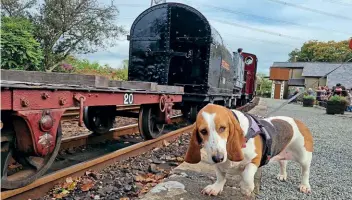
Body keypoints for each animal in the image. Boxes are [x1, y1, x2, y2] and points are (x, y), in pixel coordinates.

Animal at [184, 103, 314, 197]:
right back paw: (282, 175)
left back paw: (305, 186)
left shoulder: (255, 160)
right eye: (203, 131)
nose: (218, 158)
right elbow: (220, 176)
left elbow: (247, 175)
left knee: (305, 172)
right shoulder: (217, 164)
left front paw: (246, 189)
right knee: (283, 162)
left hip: (304, 157)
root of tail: (297, 121)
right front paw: (215, 188)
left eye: (222, 128)